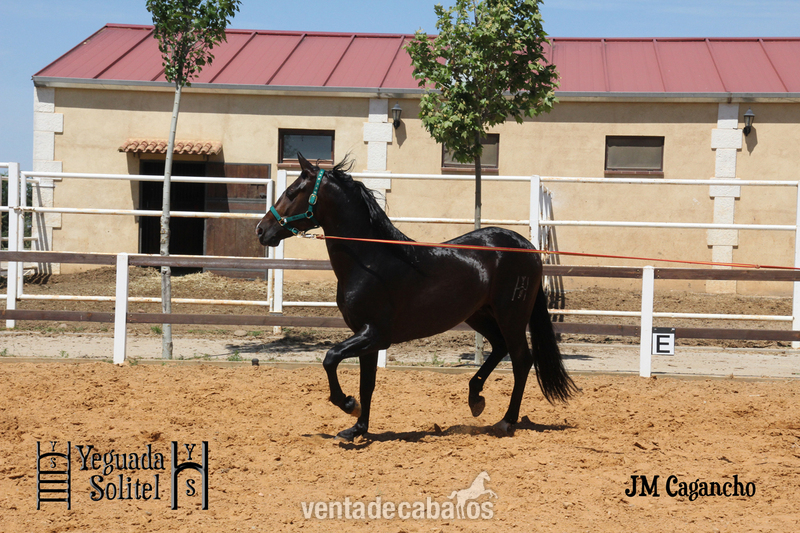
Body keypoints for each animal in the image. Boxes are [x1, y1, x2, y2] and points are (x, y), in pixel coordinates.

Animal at [256, 153, 576, 441]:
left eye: (292, 192)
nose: (262, 230)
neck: (370, 261)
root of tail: (527, 247)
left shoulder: (375, 334)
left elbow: (331, 358)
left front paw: (348, 405)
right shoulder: (366, 337)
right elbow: (366, 384)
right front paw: (357, 429)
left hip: (511, 315)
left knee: (522, 359)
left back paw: (506, 421)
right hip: (478, 315)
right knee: (499, 348)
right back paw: (475, 398)